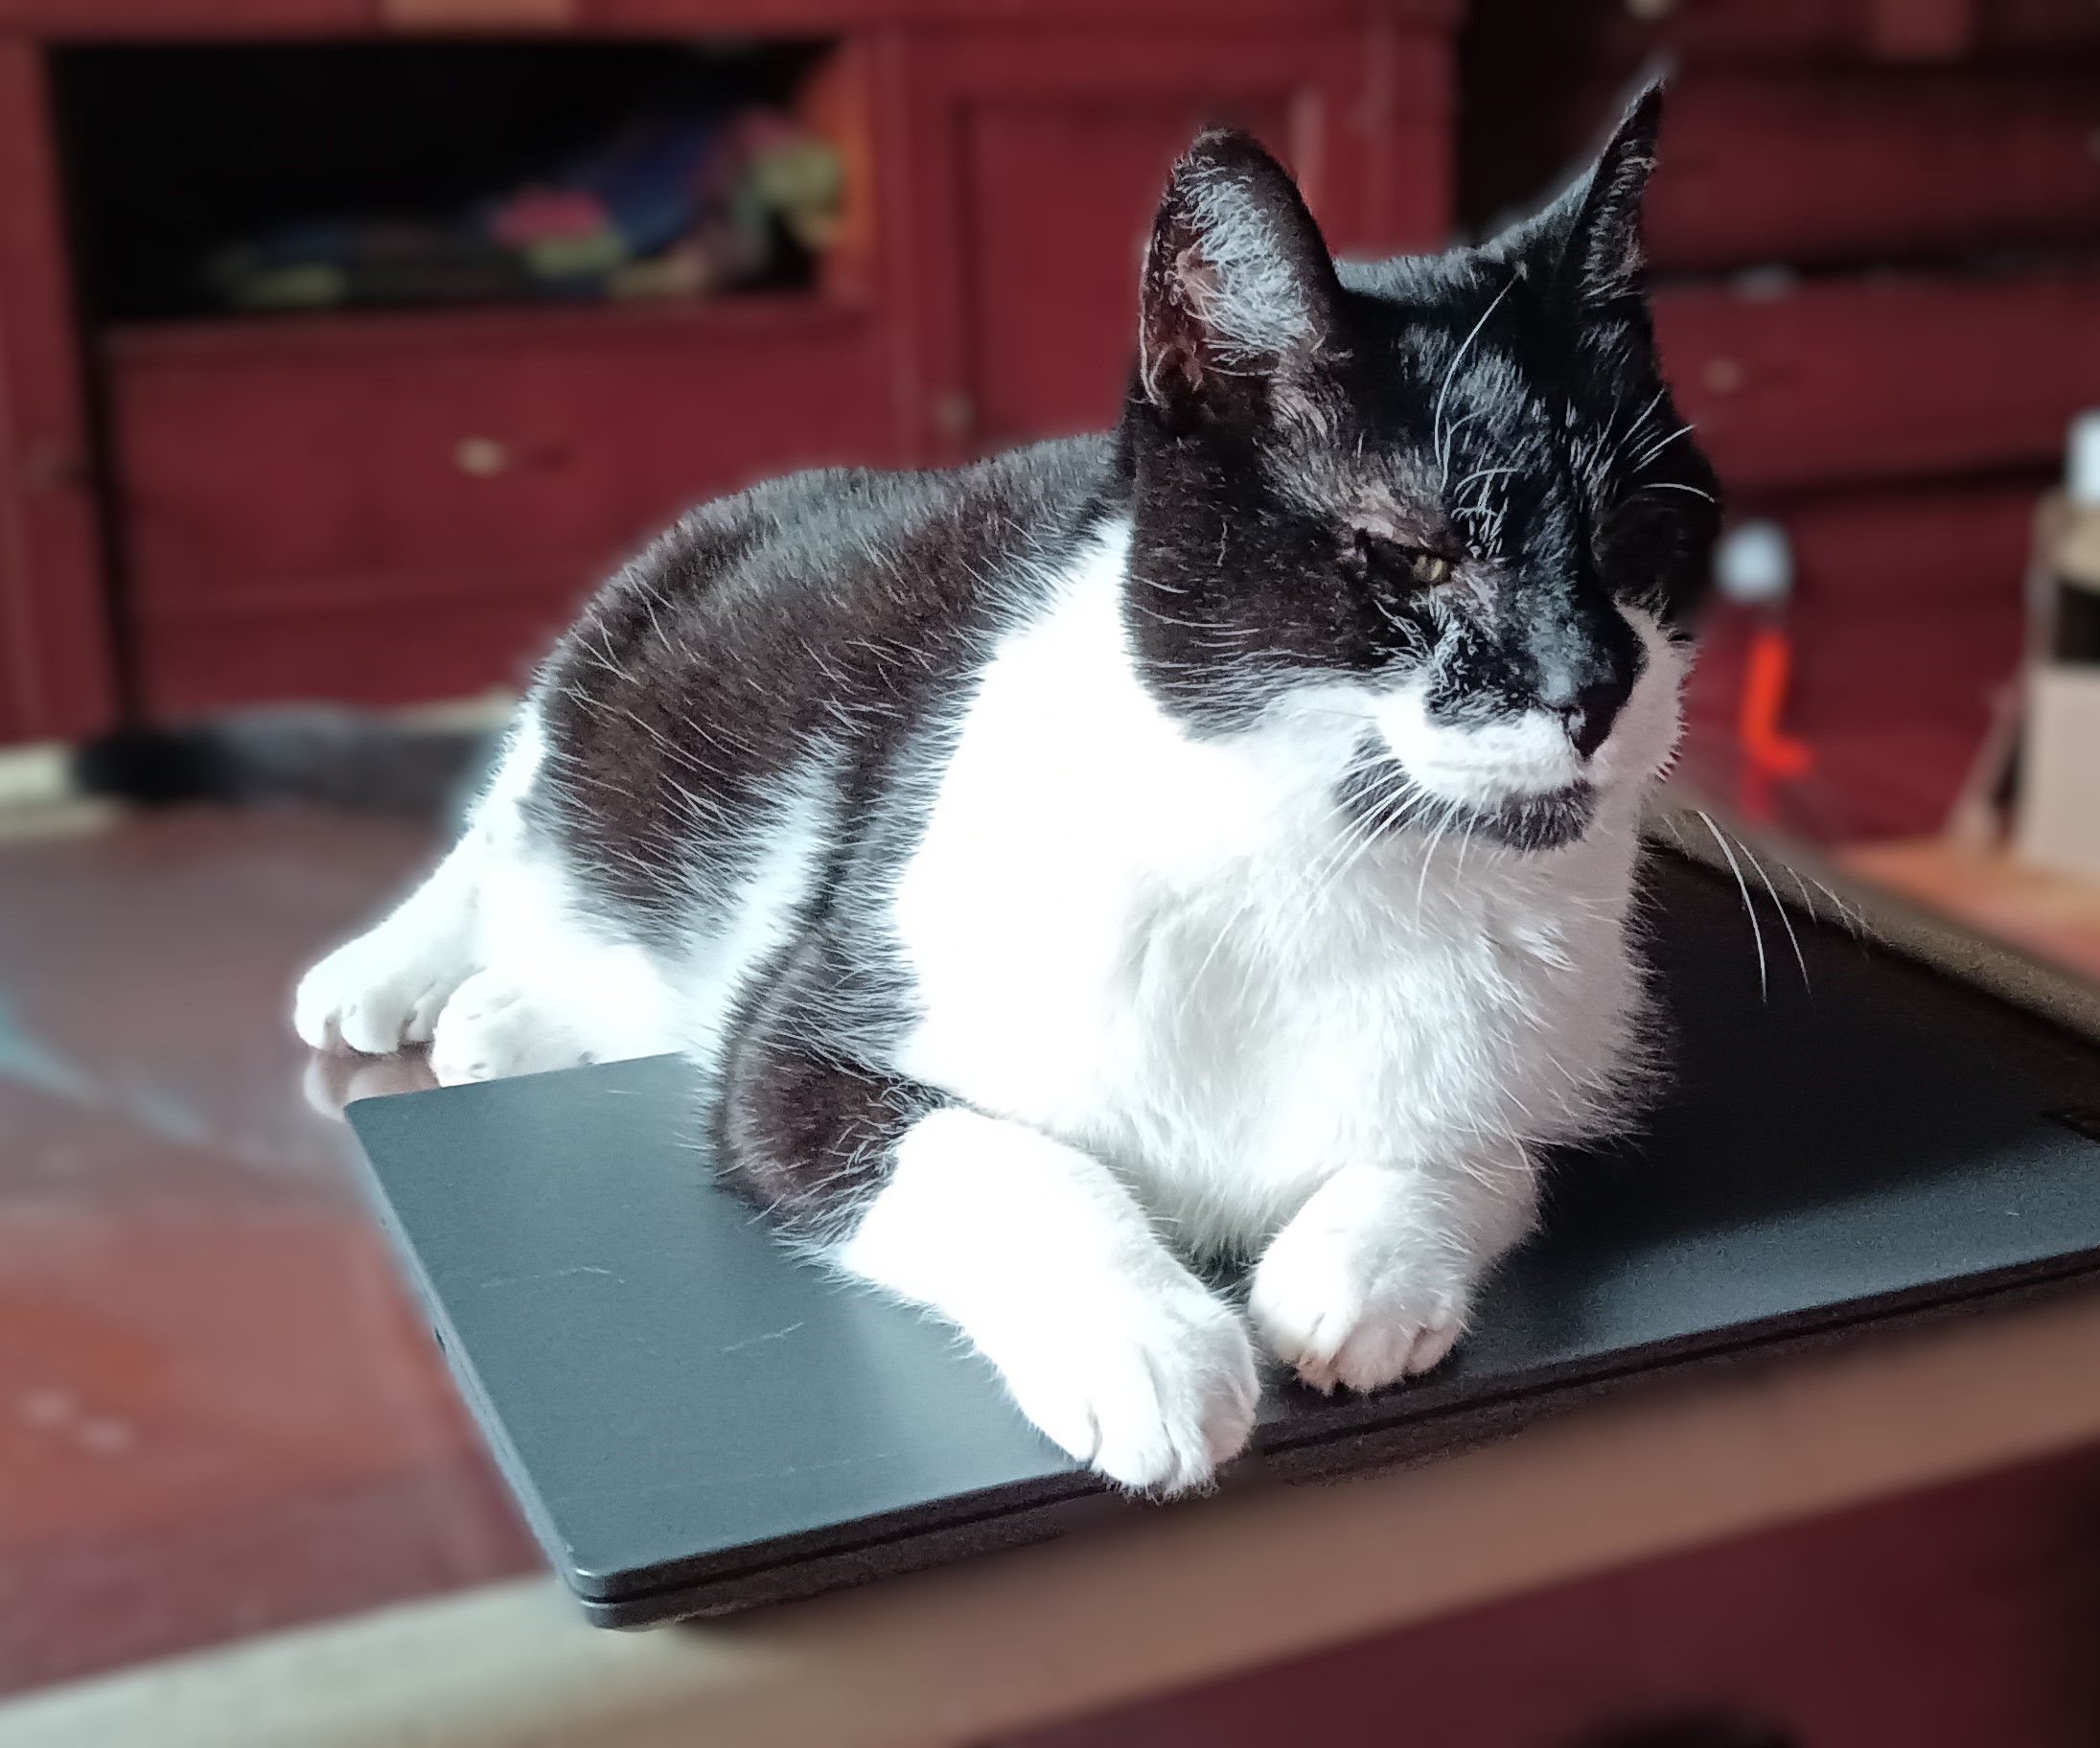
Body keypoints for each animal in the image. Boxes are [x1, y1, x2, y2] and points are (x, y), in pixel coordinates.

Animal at [296, 86, 1719, 1495]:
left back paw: (510, 1016)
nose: (1593, 687)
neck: (1324, 860)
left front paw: (1357, 1271)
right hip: (606, 662)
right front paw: (1149, 1349)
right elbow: (985, 1152)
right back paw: (388, 973)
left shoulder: (1579, 1042)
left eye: (1638, 538)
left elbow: (1492, 1150)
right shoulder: (809, 1046)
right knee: (505, 828)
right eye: (1412, 558)